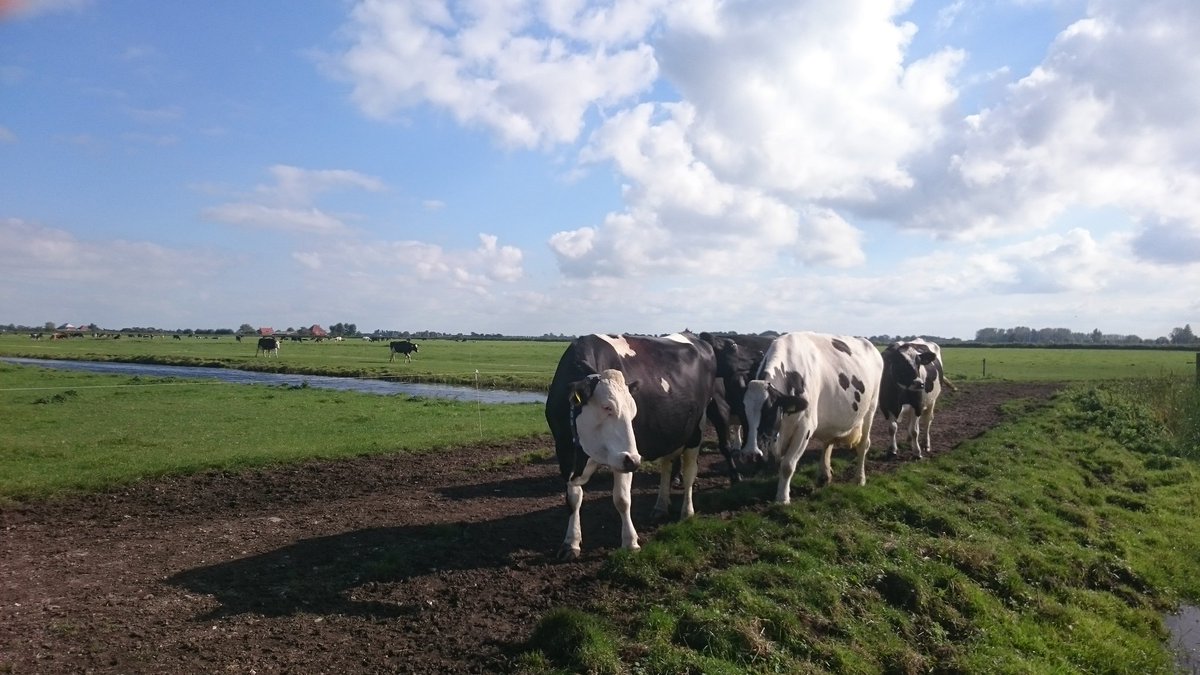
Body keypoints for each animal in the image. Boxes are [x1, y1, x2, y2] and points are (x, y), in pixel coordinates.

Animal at [545, 333, 716, 559]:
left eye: (634, 410)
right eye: (607, 407)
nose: (635, 460)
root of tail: (693, 336)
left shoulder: (623, 458)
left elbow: (622, 499)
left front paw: (630, 542)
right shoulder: (564, 451)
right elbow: (573, 499)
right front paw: (571, 543)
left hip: (696, 430)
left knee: (689, 473)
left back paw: (687, 513)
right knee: (667, 466)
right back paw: (660, 507)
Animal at [740, 332, 884, 503]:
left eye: (769, 412)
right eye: (742, 412)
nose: (751, 455)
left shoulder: (805, 428)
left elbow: (787, 465)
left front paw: (782, 498)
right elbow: (781, 463)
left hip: (871, 408)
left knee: (863, 445)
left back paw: (859, 479)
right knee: (828, 441)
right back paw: (824, 474)